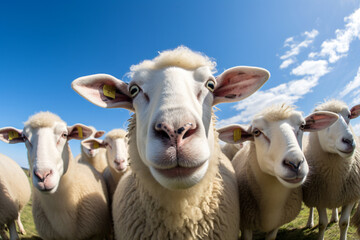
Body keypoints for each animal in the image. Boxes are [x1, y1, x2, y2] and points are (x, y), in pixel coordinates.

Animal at [218, 104, 338, 239]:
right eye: (256, 132)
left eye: (302, 126)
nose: (295, 163)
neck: (272, 206)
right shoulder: (246, 224)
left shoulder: (276, 224)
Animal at [300, 99, 360, 240]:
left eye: (349, 115)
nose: (349, 141)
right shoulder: (319, 197)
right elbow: (322, 224)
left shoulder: (350, 196)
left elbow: (344, 223)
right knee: (311, 208)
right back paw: (310, 222)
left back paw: (334, 216)